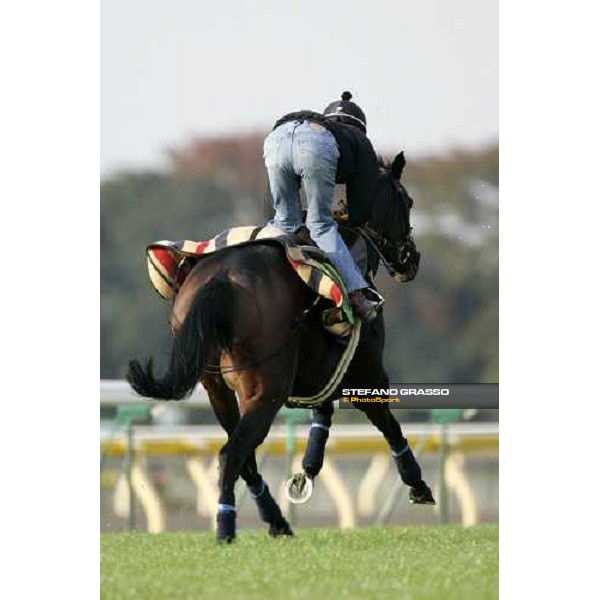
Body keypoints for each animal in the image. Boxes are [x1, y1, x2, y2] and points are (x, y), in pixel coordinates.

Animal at [127, 152, 436, 540]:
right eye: (407, 201)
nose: (412, 259)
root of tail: (219, 280)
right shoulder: (366, 372)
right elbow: (389, 425)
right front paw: (418, 485)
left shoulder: (318, 374)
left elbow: (323, 413)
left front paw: (305, 473)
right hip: (266, 390)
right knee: (233, 453)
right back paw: (226, 525)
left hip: (219, 389)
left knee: (243, 456)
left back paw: (275, 519)